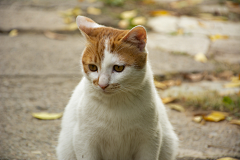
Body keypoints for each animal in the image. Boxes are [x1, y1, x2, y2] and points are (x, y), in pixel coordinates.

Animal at [56, 15, 178, 160]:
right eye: (92, 67)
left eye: (118, 68)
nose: (102, 84)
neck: (115, 103)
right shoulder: (84, 138)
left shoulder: (150, 139)